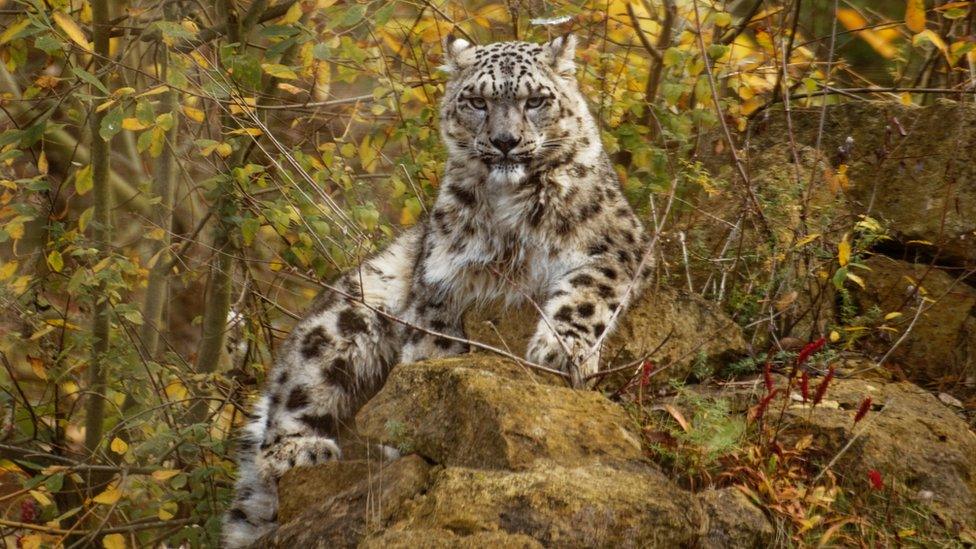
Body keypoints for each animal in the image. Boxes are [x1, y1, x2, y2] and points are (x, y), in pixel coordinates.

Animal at [221, 35, 648, 548]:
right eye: (477, 101)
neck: (510, 213)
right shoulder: (440, 278)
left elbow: (585, 295)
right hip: (348, 313)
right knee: (289, 401)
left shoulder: (618, 245)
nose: (505, 141)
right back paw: (301, 451)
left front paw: (559, 352)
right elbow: (434, 343)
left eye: (536, 101)